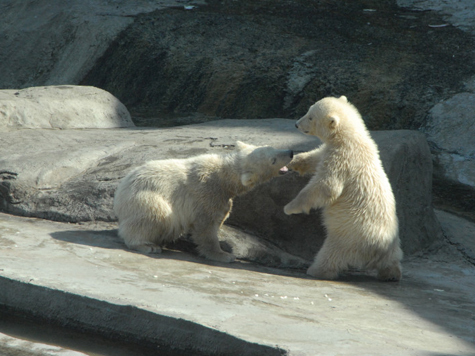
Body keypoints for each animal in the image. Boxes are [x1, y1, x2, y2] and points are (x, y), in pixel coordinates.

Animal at [114, 141, 294, 262]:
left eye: (271, 147)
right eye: (273, 160)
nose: (291, 151)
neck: (224, 177)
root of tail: (120, 195)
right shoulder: (207, 194)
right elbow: (206, 227)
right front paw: (224, 255)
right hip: (144, 197)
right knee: (155, 215)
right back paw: (148, 245)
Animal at [284, 95, 404, 280]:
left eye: (310, 117)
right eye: (308, 111)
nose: (296, 124)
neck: (351, 137)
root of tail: (378, 248)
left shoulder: (343, 158)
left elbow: (327, 186)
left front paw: (290, 207)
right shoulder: (333, 151)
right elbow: (316, 157)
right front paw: (293, 160)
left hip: (350, 235)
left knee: (332, 253)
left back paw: (316, 270)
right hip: (392, 245)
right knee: (392, 259)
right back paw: (392, 274)